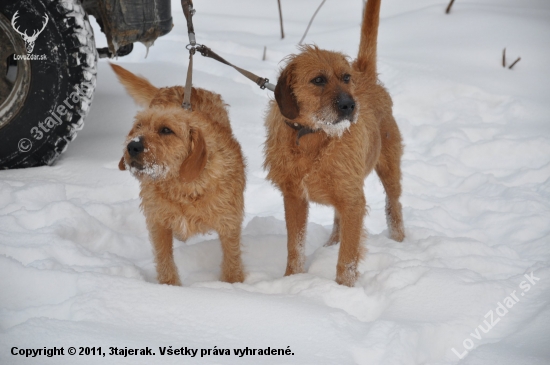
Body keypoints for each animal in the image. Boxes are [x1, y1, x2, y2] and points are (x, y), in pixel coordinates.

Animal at [111, 63, 247, 284]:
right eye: (138, 126)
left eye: (166, 130)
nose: (132, 146)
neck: (183, 184)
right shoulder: (158, 222)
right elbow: (164, 257)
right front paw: (169, 287)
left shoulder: (229, 223)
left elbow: (232, 260)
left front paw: (233, 286)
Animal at [266, 0, 408, 286]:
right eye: (318, 80)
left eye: (345, 78)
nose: (350, 106)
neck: (313, 136)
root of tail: (365, 75)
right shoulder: (294, 198)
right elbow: (295, 247)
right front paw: (291, 280)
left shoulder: (354, 202)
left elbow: (348, 258)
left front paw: (344, 289)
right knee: (338, 221)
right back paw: (330, 244)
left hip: (388, 169)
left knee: (394, 206)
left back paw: (399, 241)